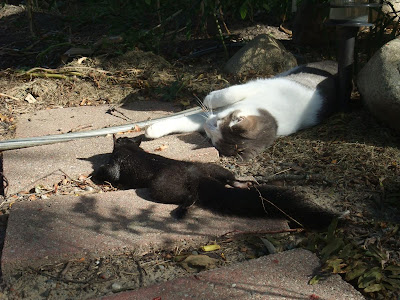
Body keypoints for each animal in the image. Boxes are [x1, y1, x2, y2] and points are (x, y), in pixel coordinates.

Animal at [145, 61, 338, 159]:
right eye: (216, 123)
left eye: (212, 140)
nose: (208, 125)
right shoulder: (259, 86)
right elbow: (229, 93)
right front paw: (209, 98)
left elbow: (187, 122)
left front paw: (153, 129)